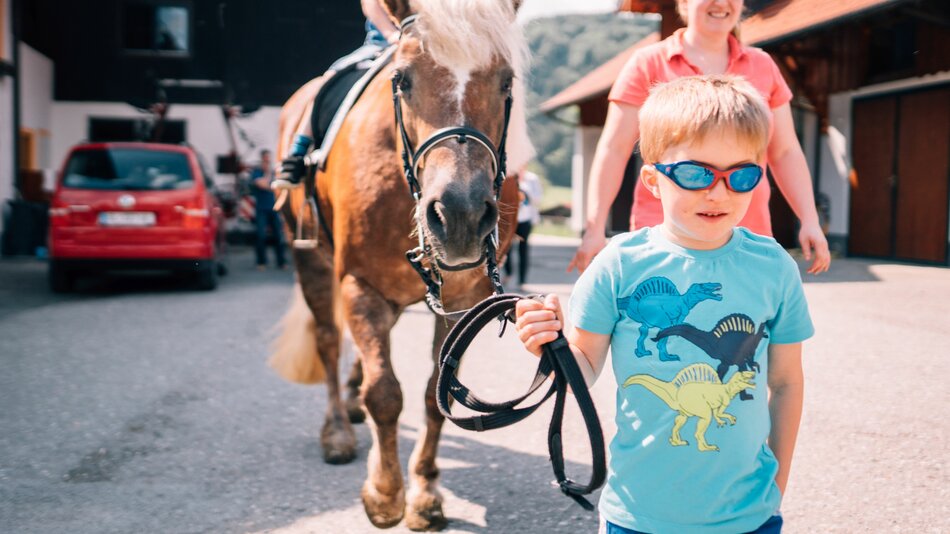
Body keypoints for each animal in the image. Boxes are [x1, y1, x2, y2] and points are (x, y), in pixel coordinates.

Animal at [272, 0, 532, 528]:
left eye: (505, 81)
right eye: (404, 79)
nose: (459, 215)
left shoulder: (465, 299)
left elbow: (437, 391)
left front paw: (426, 492)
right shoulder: (360, 284)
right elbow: (386, 393)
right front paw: (386, 493)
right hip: (308, 256)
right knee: (329, 341)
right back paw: (338, 429)